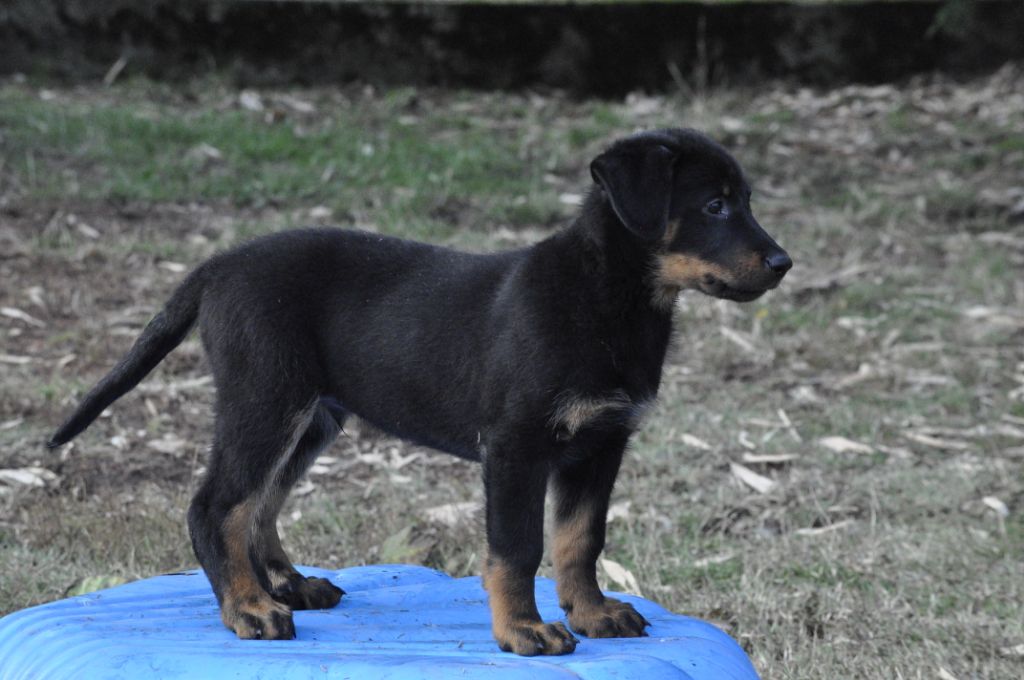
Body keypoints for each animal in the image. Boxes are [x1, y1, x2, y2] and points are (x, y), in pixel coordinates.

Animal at [49, 127, 790, 655]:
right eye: (715, 205)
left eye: (748, 200)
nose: (784, 262)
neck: (610, 296)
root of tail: (217, 265)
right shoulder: (516, 447)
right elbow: (517, 548)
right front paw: (524, 631)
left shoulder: (601, 443)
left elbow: (581, 539)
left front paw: (593, 612)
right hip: (266, 398)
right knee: (215, 505)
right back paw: (249, 608)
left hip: (312, 418)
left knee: (258, 503)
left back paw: (288, 586)